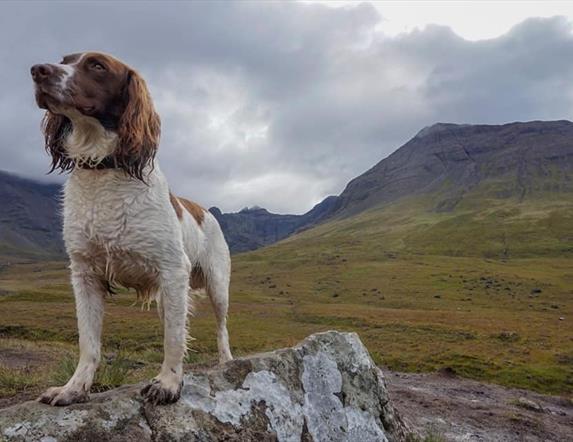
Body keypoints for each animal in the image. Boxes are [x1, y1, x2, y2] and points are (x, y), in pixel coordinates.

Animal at [30, 51, 232, 404]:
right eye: (64, 60)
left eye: (97, 66)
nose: (38, 71)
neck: (104, 169)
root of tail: (205, 209)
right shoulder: (84, 275)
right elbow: (89, 343)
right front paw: (73, 388)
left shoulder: (172, 270)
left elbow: (174, 340)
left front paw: (168, 383)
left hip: (217, 285)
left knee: (221, 327)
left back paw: (226, 361)